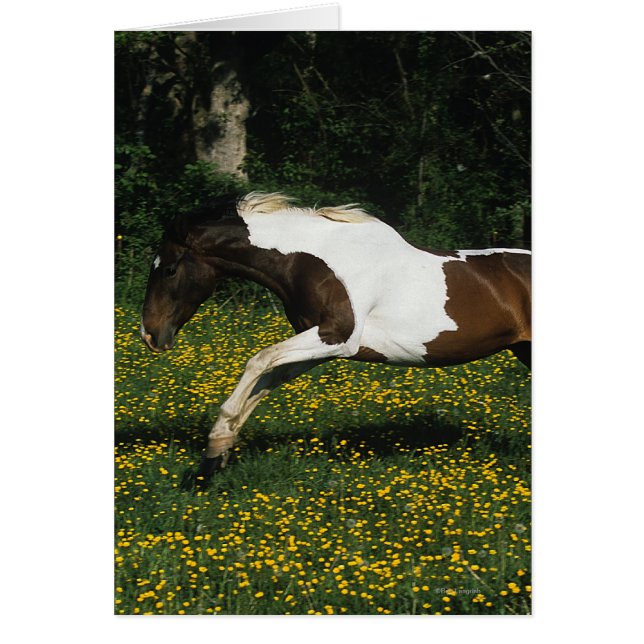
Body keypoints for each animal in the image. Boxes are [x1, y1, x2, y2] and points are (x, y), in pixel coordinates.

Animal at [141, 192, 531, 479]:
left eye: (170, 269)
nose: (150, 335)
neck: (314, 260)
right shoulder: (318, 346)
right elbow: (266, 380)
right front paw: (216, 455)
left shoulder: (337, 337)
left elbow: (258, 361)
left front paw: (215, 446)